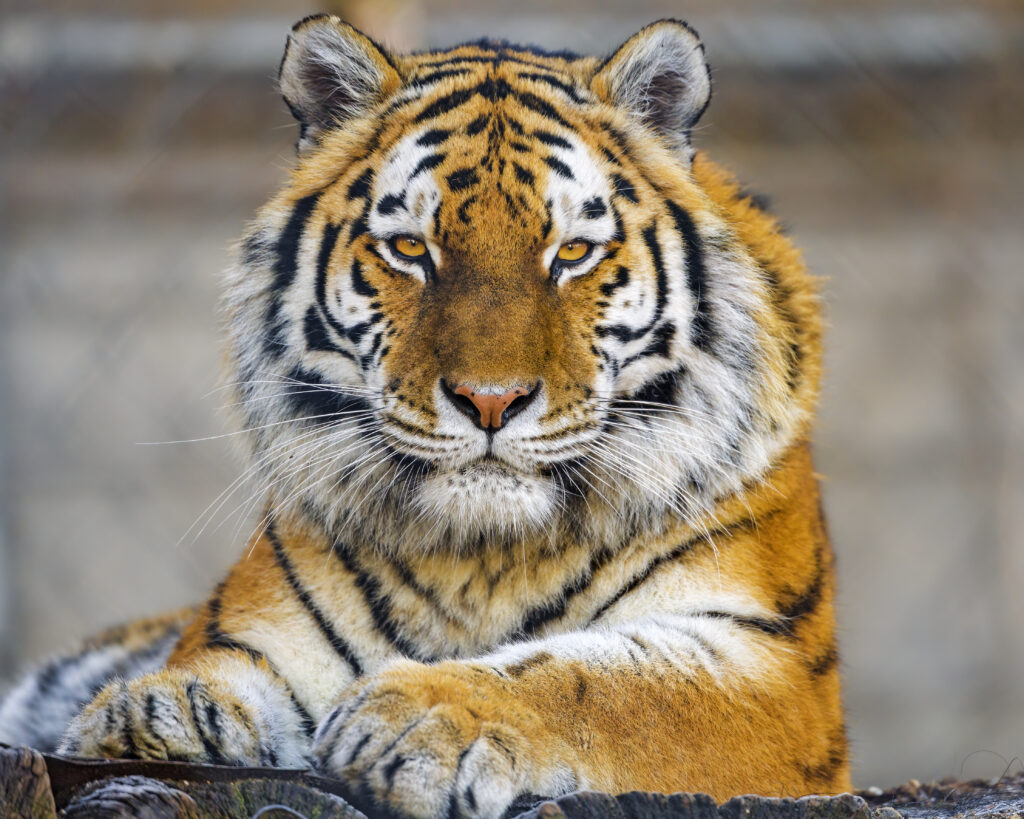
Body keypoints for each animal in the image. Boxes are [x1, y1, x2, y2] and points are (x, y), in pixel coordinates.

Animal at [0, 15, 848, 818]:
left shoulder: (772, 666)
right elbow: (224, 669)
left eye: (572, 253)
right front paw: (165, 710)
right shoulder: (252, 625)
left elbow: (602, 684)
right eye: (410, 248)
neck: (486, 559)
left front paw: (424, 719)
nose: (491, 400)